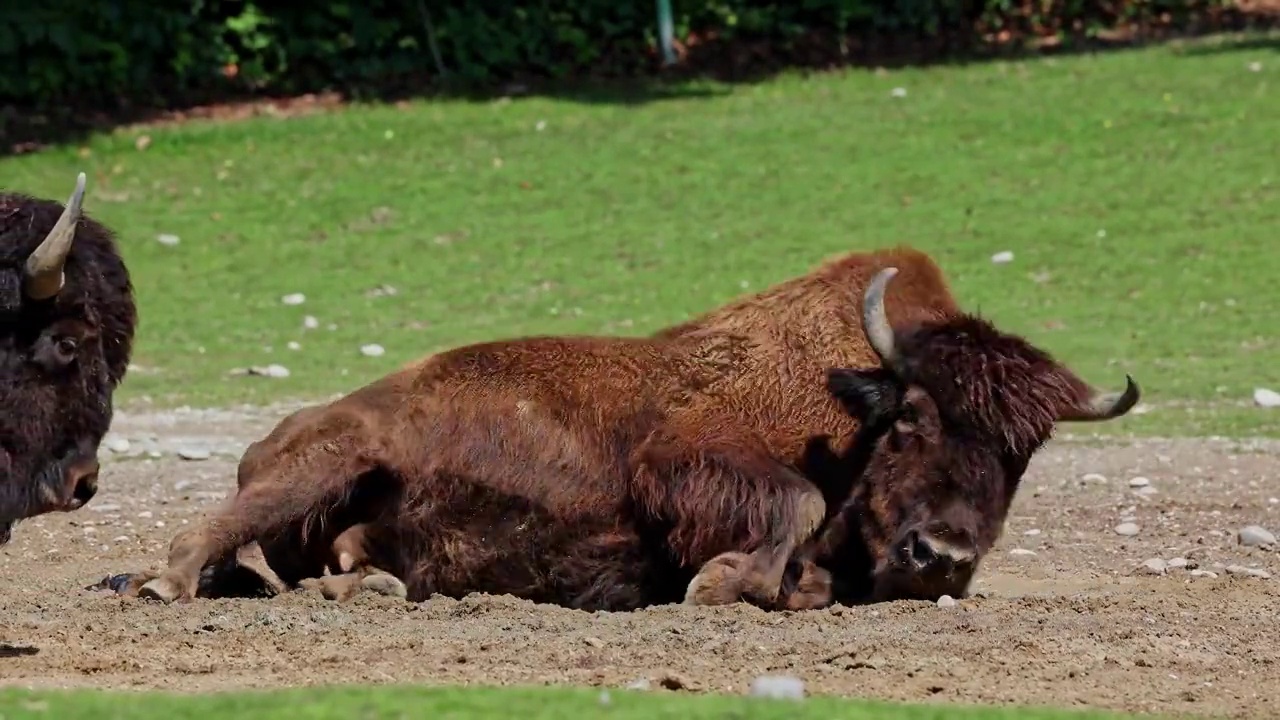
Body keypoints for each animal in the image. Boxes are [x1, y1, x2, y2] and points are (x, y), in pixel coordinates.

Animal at [104, 245, 1136, 604]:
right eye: (911, 417)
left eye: (1025, 452)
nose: (942, 555)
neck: (851, 403)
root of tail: (275, 430)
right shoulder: (682, 455)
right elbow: (791, 508)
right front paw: (725, 583)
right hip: (330, 459)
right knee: (204, 534)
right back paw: (168, 583)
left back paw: (359, 585)